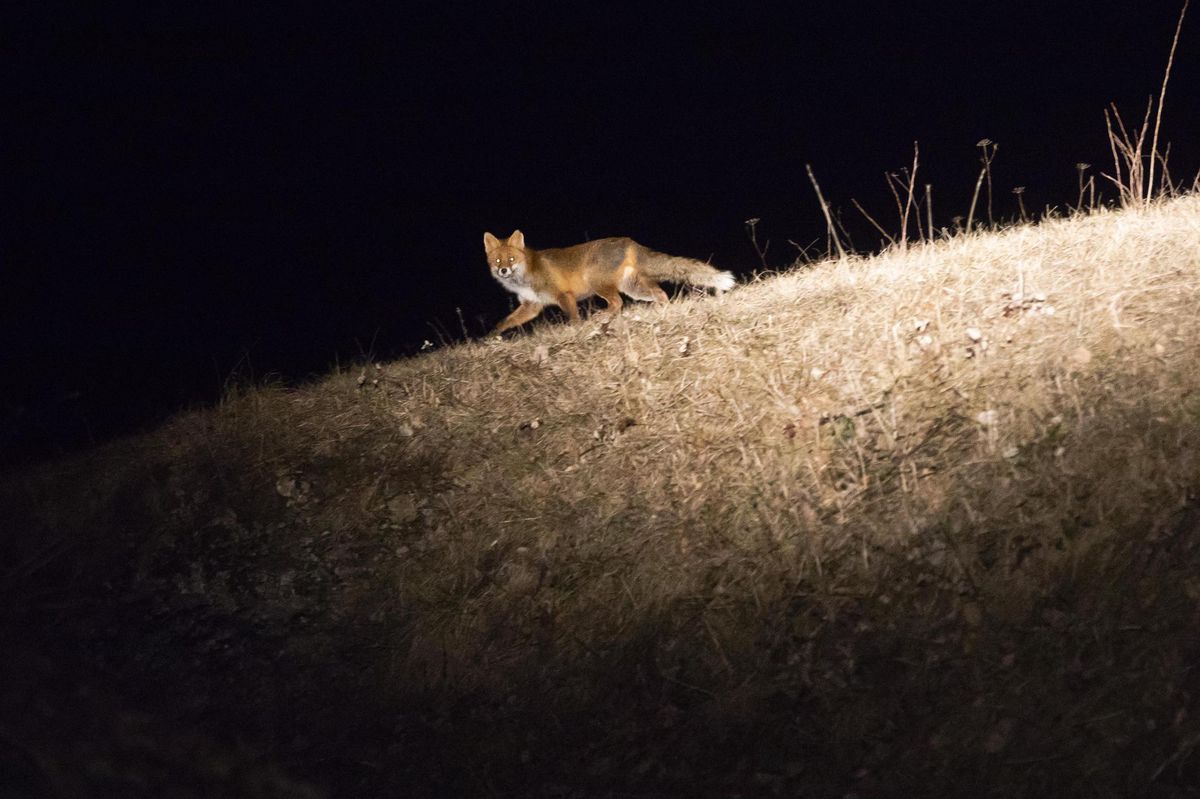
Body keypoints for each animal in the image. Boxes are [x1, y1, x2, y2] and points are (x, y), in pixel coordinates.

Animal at [483, 230, 736, 335]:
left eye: (511, 259)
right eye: (497, 261)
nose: (503, 270)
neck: (526, 276)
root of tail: (629, 241)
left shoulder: (563, 295)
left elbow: (573, 318)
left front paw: (576, 330)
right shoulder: (531, 306)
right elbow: (507, 321)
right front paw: (492, 336)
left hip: (597, 283)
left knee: (617, 303)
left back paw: (603, 318)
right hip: (633, 288)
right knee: (660, 294)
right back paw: (659, 311)